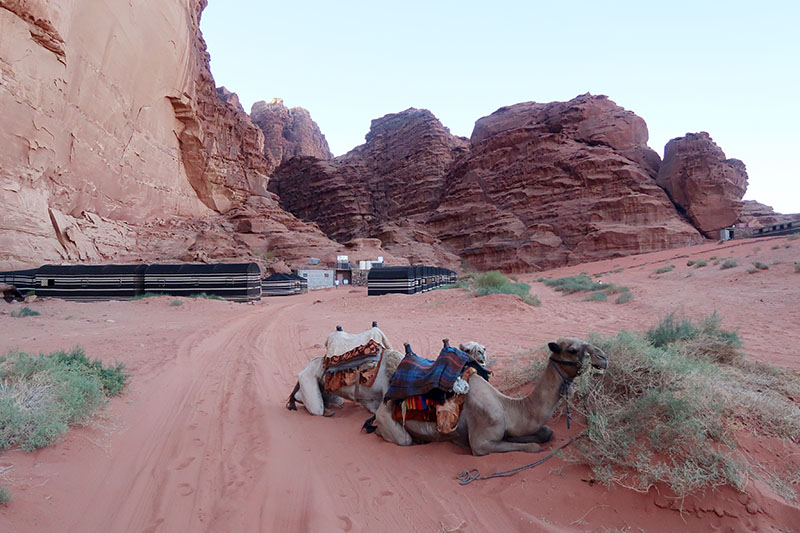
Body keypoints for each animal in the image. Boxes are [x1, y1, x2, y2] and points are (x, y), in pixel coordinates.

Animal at [374, 338, 608, 456]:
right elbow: (532, 447)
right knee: (402, 439)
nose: (603, 357)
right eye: (573, 349)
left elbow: (546, 433)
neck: (508, 407)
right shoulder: (481, 443)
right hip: (391, 424)